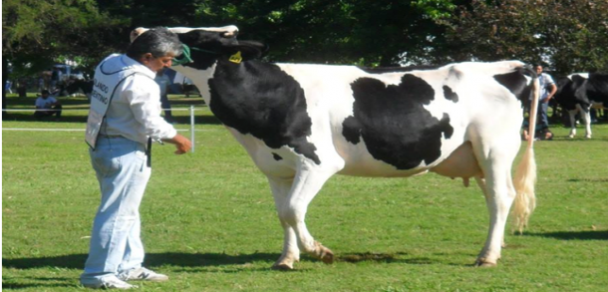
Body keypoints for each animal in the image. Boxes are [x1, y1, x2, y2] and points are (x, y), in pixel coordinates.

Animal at [131, 26, 540, 270]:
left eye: (197, 33)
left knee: (502, 197)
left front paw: (318, 251)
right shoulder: (275, 167)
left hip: (495, 148)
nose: (141, 30)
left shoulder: (318, 161)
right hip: (475, 156)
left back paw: (487, 256)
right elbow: (282, 213)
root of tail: (513, 66)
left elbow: (294, 210)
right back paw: (494, 248)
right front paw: (286, 258)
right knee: (495, 199)